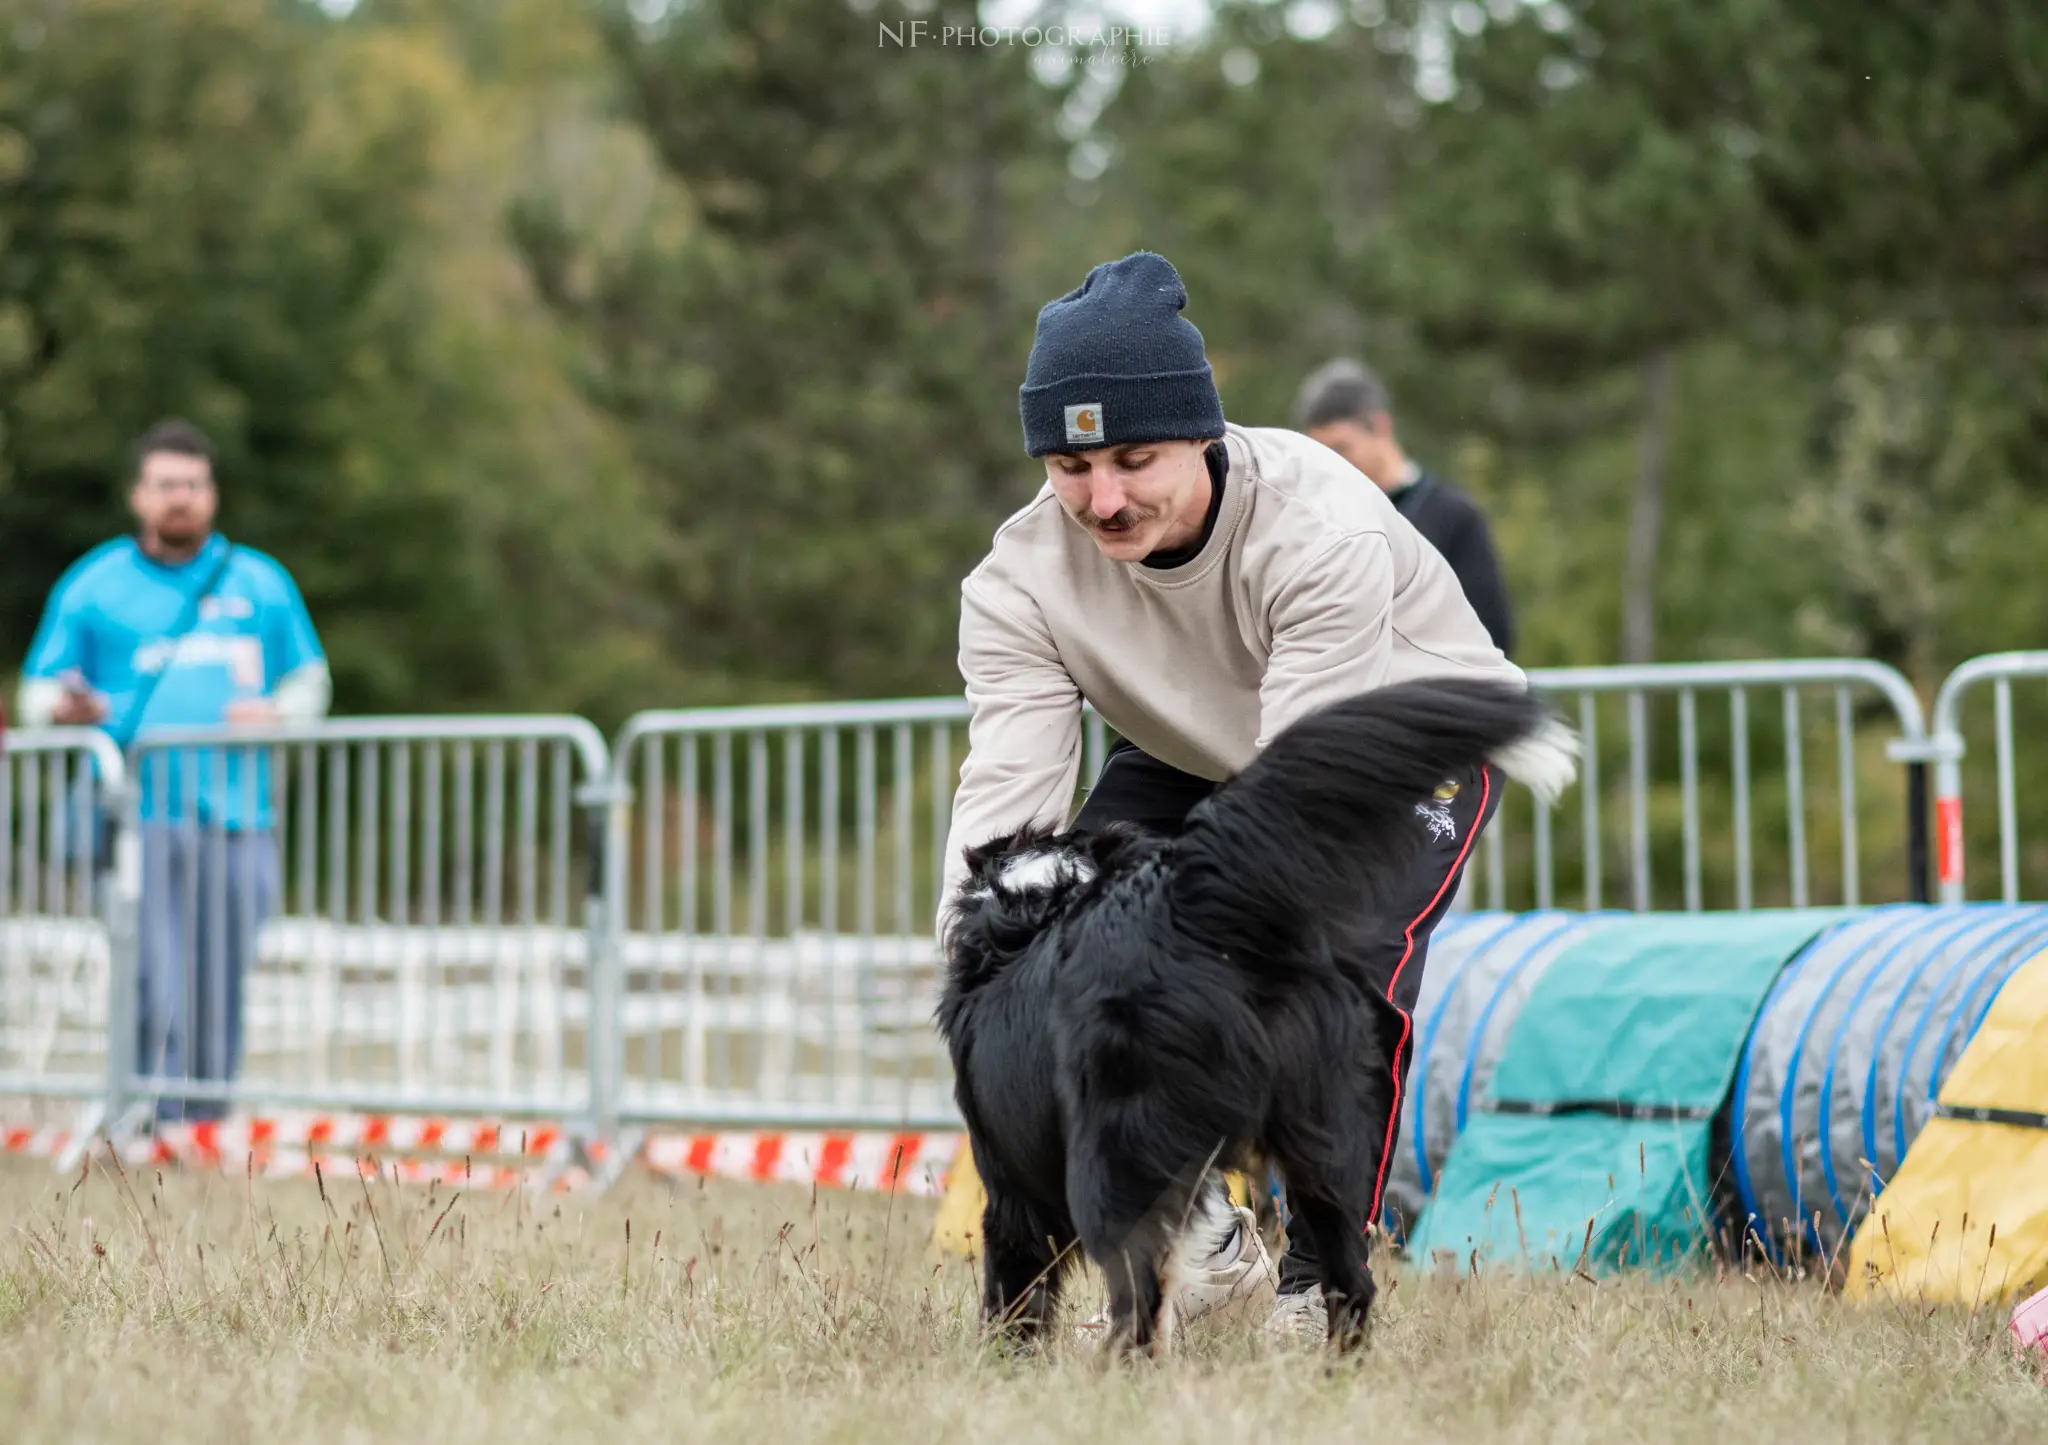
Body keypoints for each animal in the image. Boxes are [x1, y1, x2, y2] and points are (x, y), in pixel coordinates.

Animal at [937, 675, 1572, 1350]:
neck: (1043, 903)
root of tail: (1188, 905)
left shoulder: (1011, 1186)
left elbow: (1014, 1289)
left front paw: (1004, 1357)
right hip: (1327, 1132)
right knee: (1348, 1272)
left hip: (1113, 1157)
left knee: (1137, 1294)